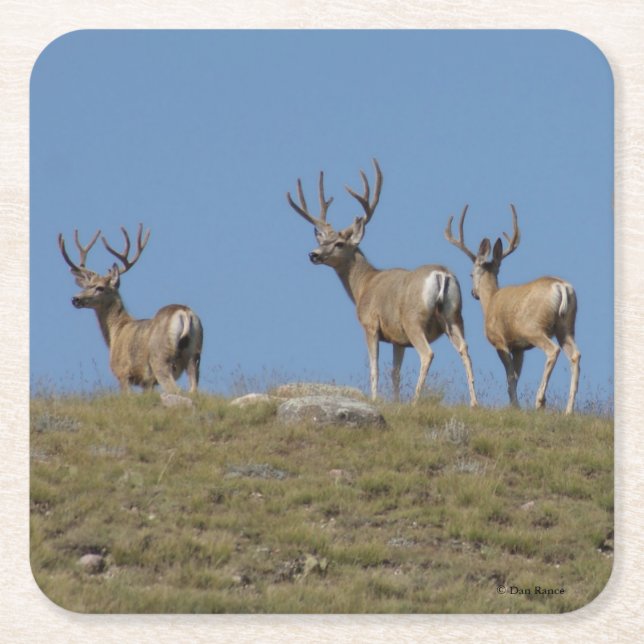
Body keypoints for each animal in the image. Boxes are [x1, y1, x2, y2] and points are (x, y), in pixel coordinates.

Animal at [58, 224, 203, 395]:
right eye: (86, 286)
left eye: (100, 287)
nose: (75, 299)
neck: (116, 331)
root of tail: (184, 312)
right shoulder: (147, 382)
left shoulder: (123, 372)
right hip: (195, 355)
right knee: (193, 389)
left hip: (161, 358)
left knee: (175, 389)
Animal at [287, 158, 478, 406]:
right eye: (322, 240)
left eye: (339, 243)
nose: (313, 254)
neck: (363, 285)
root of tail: (441, 274)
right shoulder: (398, 339)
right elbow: (395, 372)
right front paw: (394, 400)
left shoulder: (370, 324)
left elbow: (374, 367)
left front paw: (376, 398)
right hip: (454, 316)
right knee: (465, 349)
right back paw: (474, 402)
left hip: (413, 319)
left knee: (427, 354)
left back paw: (415, 400)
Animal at [444, 204, 581, 414]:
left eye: (470, 274)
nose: (473, 293)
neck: (490, 302)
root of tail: (562, 287)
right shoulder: (519, 347)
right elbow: (516, 376)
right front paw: (515, 405)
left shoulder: (500, 341)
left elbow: (509, 377)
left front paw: (515, 406)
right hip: (566, 326)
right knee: (575, 355)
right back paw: (568, 410)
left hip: (534, 328)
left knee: (553, 350)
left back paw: (540, 400)